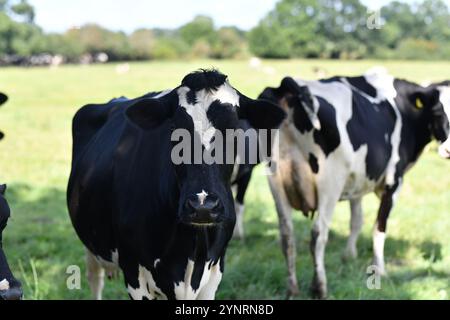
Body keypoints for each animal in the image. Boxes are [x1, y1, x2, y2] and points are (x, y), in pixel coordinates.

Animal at [67, 69, 284, 300]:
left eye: (234, 129)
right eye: (174, 129)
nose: (203, 206)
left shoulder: (215, 273)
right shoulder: (134, 273)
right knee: (95, 280)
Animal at [258, 69, 450, 298]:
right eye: (438, 113)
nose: (448, 150)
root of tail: (288, 86)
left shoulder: (356, 183)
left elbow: (356, 220)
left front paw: (349, 255)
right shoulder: (393, 181)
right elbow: (379, 227)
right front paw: (379, 270)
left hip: (276, 183)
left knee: (287, 236)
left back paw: (292, 289)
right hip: (329, 183)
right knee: (318, 235)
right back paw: (319, 287)